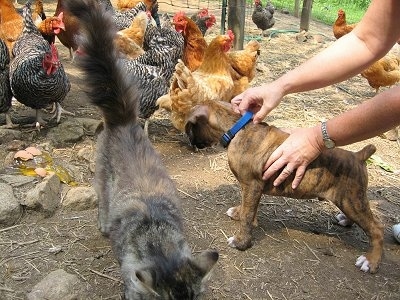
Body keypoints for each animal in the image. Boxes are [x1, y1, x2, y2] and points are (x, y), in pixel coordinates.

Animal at [186, 101, 386, 274]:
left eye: (191, 128)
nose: (191, 143)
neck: (237, 128)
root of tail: (358, 156)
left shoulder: (251, 186)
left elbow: (247, 215)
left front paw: (241, 241)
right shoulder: (251, 189)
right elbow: (248, 208)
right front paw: (239, 212)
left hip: (351, 199)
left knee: (376, 228)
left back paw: (371, 261)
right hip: (349, 200)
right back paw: (346, 221)